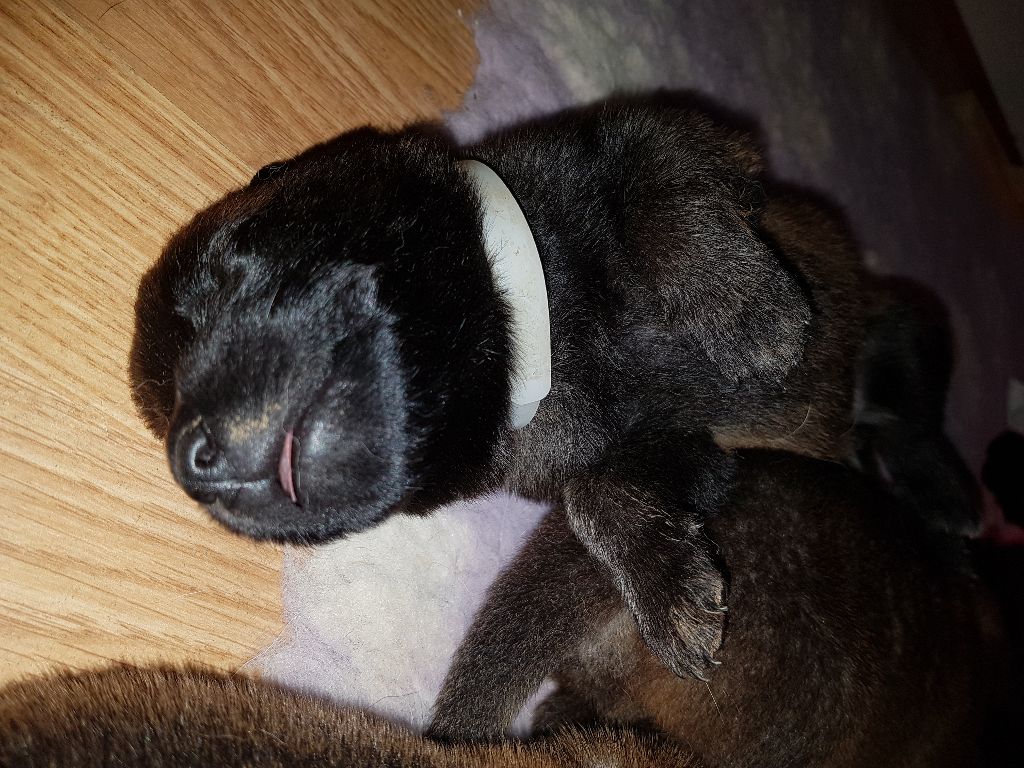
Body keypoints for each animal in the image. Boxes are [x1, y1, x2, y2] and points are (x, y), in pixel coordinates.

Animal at [131, 96, 864, 681]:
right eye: (162, 414)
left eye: (224, 277)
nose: (189, 458)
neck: (539, 345)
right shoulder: (683, 450)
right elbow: (595, 495)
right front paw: (669, 592)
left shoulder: (675, 141)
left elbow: (657, 177)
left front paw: (746, 309)